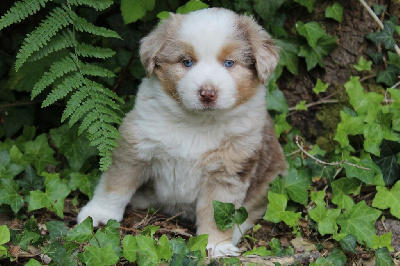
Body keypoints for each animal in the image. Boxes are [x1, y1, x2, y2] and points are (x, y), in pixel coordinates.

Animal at [76, 7, 286, 258]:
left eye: (229, 63)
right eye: (187, 62)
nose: (207, 93)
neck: (197, 123)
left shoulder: (228, 170)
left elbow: (218, 212)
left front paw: (217, 245)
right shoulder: (136, 143)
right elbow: (116, 183)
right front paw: (99, 214)